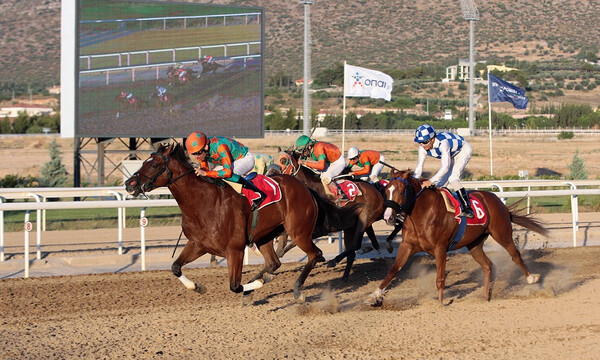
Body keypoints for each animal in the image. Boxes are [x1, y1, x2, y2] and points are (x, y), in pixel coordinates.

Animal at [123, 142, 326, 302]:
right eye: (144, 162)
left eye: (155, 165)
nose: (129, 184)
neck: (203, 203)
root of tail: (305, 188)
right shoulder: (198, 244)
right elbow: (175, 267)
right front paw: (197, 287)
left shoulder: (234, 249)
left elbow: (235, 286)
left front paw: (257, 284)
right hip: (265, 235)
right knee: (273, 263)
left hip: (299, 232)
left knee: (315, 254)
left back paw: (297, 290)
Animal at [266, 149, 386, 282]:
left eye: (283, 160)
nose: (268, 175)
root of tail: (376, 190)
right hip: (354, 225)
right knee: (359, 245)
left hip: (364, 218)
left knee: (356, 244)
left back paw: (334, 261)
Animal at [364, 170, 552, 306]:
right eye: (386, 190)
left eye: (402, 191)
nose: (388, 216)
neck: (422, 214)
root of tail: (498, 202)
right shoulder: (407, 246)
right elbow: (393, 270)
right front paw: (374, 295)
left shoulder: (440, 248)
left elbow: (440, 277)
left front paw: (441, 302)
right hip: (474, 244)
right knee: (487, 265)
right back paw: (485, 296)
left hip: (502, 233)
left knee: (515, 255)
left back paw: (532, 278)